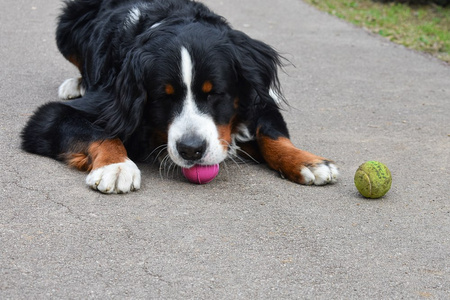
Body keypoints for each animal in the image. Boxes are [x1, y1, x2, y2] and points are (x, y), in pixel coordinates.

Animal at [21, 0, 338, 193]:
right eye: (164, 97)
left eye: (215, 94)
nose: (191, 150)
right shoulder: (61, 114)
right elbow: (95, 131)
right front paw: (116, 166)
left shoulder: (259, 97)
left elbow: (272, 134)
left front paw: (307, 161)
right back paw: (76, 83)